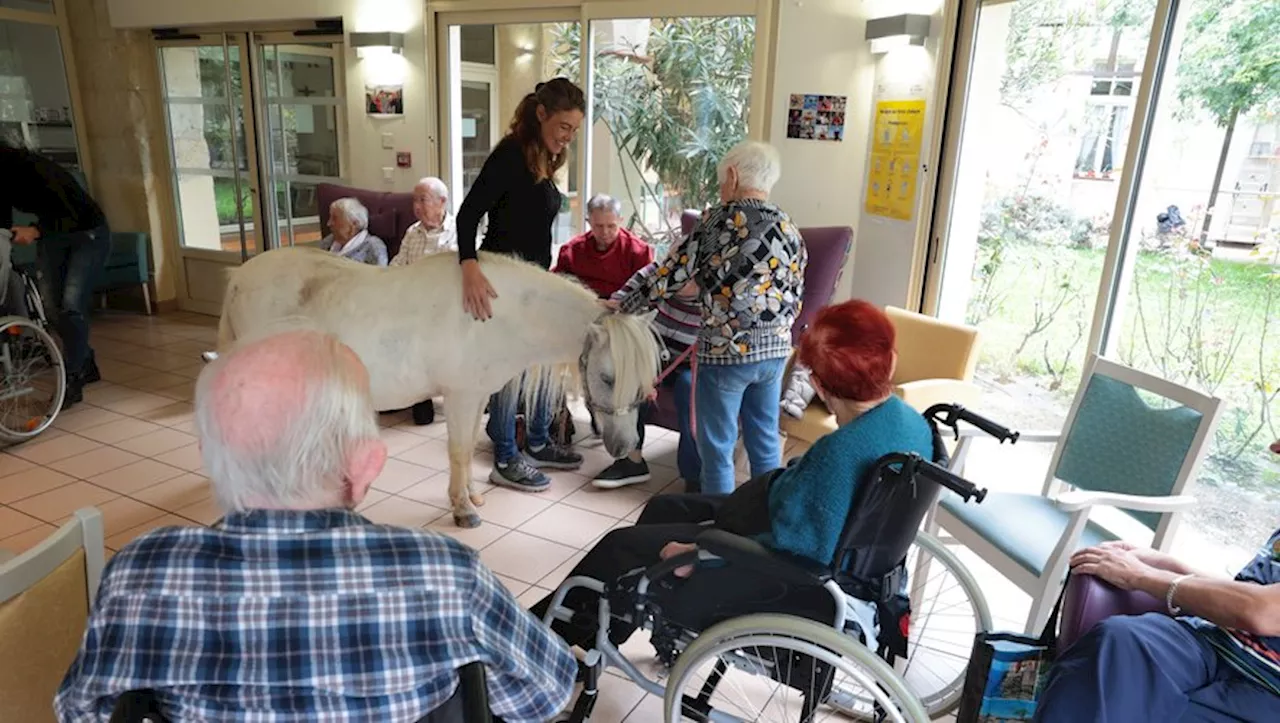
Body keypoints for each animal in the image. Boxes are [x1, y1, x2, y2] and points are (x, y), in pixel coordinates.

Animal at [215, 246, 660, 524]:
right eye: (607, 377)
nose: (624, 447)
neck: (496, 313)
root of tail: (236, 279)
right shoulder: (461, 395)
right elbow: (459, 452)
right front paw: (463, 511)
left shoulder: (476, 395)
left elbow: (463, 451)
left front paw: (469, 497)